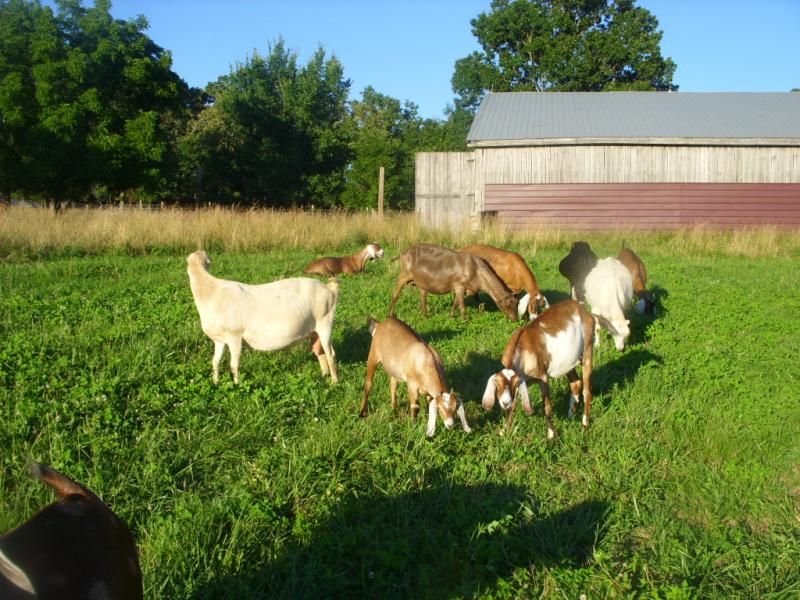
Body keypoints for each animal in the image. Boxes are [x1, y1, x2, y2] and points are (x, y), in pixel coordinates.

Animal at [187, 250, 339, 384]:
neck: (211, 291)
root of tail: (330, 289)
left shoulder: (234, 336)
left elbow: (234, 365)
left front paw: (237, 385)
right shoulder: (219, 340)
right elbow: (215, 362)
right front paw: (215, 382)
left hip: (325, 323)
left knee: (330, 353)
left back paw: (334, 382)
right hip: (314, 331)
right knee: (320, 352)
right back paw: (324, 375)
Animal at [387, 243, 518, 321]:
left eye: (517, 303)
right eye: (509, 304)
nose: (515, 319)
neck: (475, 270)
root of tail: (403, 253)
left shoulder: (462, 289)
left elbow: (455, 303)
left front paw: (451, 316)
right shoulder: (459, 285)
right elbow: (462, 306)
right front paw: (464, 320)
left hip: (421, 283)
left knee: (422, 298)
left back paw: (426, 315)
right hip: (404, 275)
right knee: (395, 295)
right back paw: (391, 314)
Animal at [482, 300, 610, 439]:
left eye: (514, 384)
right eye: (497, 384)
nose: (504, 402)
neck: (522, 350)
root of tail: (585, 312)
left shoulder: (542, 378)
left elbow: (547, 407)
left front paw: (551, 435)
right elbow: (512, 406)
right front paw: (504, 432)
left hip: (587, 351)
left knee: (587, 390)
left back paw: (585, 423)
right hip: (568, 362)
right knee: (576, 383)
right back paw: (571, 415)